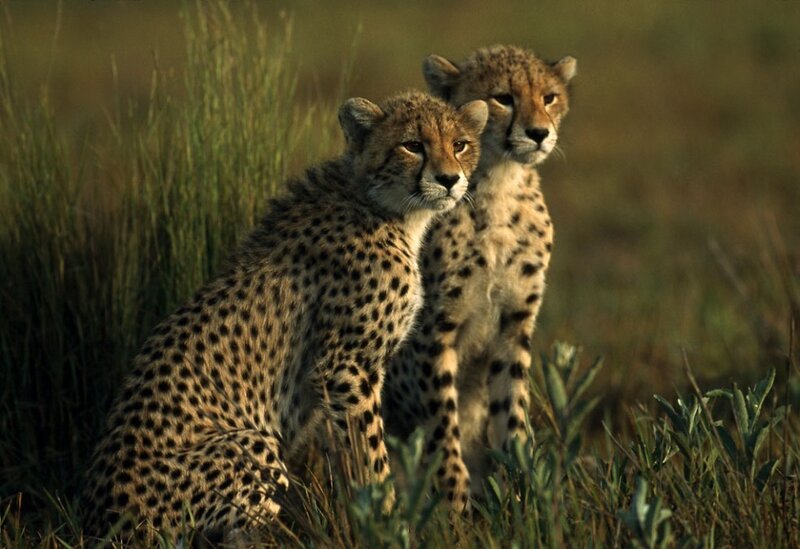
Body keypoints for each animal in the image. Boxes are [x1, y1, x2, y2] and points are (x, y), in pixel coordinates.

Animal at [80, 90, 488, 543]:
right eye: (412, 145)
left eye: (460, 145)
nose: (449, 179)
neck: (385, 206)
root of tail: (97, 519)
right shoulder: (345, 367)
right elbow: (371, 456)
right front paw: (388, 525)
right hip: (250, 446)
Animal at [383, 45, 577, 510]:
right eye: (502, 98)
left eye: (548, 97)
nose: (539, 133)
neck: (499, 187)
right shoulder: (434, 331)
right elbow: (442, 423)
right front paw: (454, 504)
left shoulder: (514, 324)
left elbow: (512, 412)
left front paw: (525, 495)